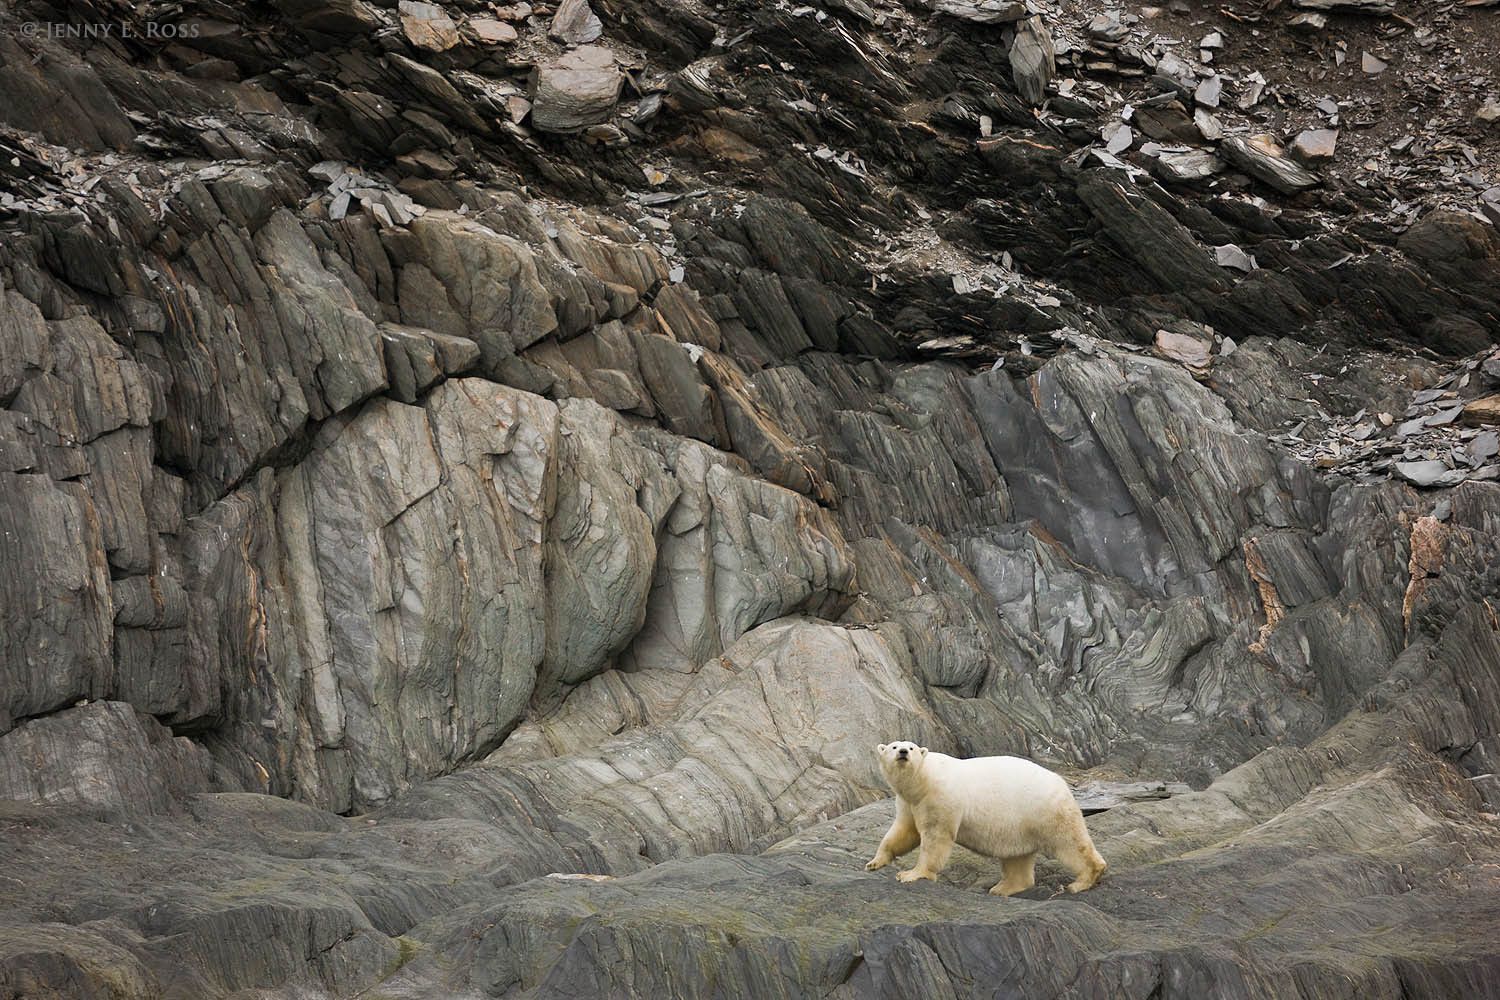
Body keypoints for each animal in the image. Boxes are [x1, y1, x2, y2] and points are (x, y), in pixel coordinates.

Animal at [864, 741, 1106, 896]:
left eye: (912, 747)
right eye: (894, 746)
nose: (903, 752)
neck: (923, 779)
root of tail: (1063, 784)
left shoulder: (940, 797)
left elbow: (935, 837)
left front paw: (911, 874)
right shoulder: (909, 803)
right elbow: (904, 832)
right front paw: (874, 862)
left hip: (1045, 811)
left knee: (1069, 842)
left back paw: (1082, 881)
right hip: (1019, 824)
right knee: (1017, 858)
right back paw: (1002, 888)